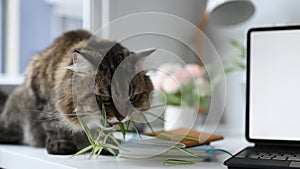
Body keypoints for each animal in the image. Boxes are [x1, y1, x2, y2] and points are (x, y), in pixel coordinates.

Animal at [0, 30, 155, 154]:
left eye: (133, 97)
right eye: (105, 98)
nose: (122, 117)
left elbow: (103, 134)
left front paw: (106, 146)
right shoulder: (42, 95)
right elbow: (55, 125)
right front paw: (61, 145)